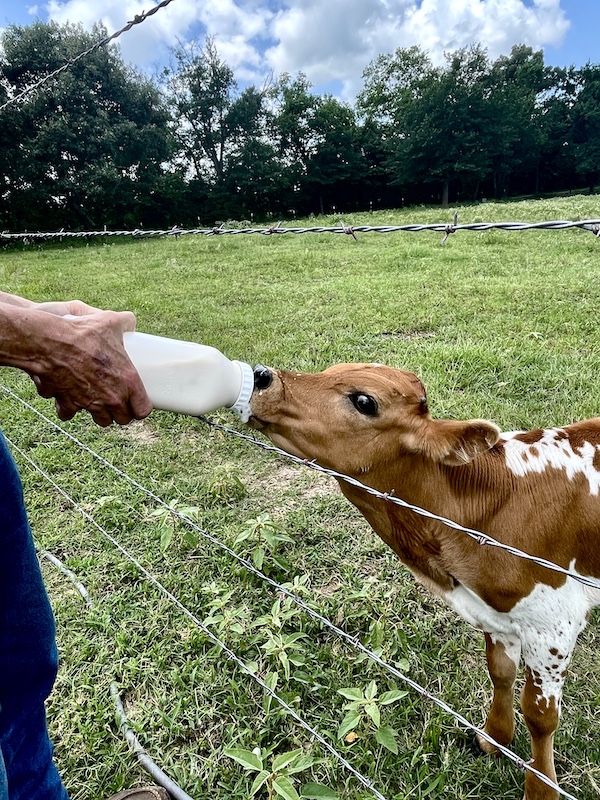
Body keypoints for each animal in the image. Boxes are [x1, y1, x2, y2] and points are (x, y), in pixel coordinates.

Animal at [247, 362, 600, 800]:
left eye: (364, 400)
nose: (261, 375)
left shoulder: (554, 623)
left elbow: (540, 715)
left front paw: (541, 788)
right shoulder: (496, 613)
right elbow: (500, 672)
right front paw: (494, 738)